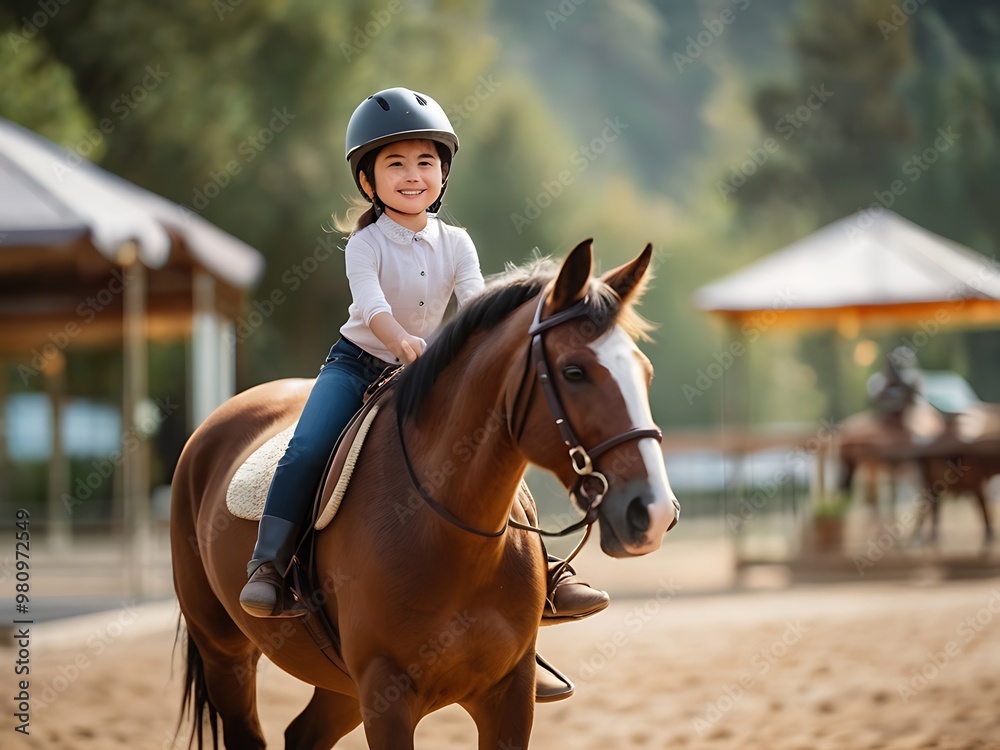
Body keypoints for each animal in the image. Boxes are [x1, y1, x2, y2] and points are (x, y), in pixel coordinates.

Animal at [170, 239, 680, 749]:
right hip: (225, 654)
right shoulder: (386, 697)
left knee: (303, 734)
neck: (450, 535)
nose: (653, 513)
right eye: (574, 371)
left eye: (646, 373)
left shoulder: (510, 695)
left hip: (338, 685)